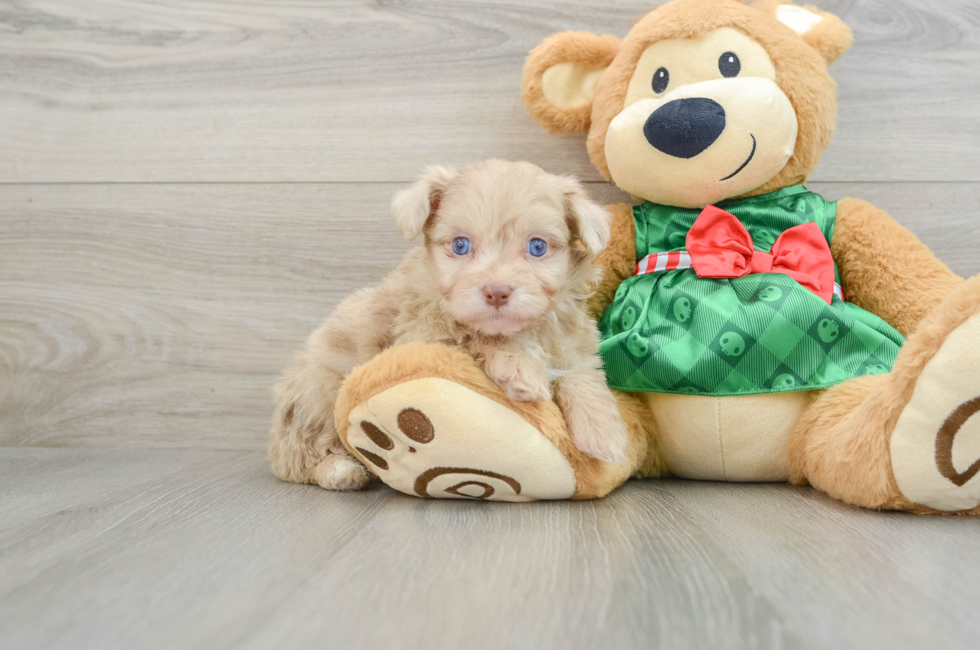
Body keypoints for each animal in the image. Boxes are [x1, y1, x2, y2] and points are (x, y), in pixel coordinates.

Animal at [268, 159, 628, 488]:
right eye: (460, 245)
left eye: (537, 247)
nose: (497, 292)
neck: (522, 331)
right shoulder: (424, 336)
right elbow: (474, 336)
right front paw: (521, 369)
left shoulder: (571, 339)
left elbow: (581, 373)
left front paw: (605, 434)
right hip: (319, 394)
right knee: (301, 456)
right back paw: (340, 471)